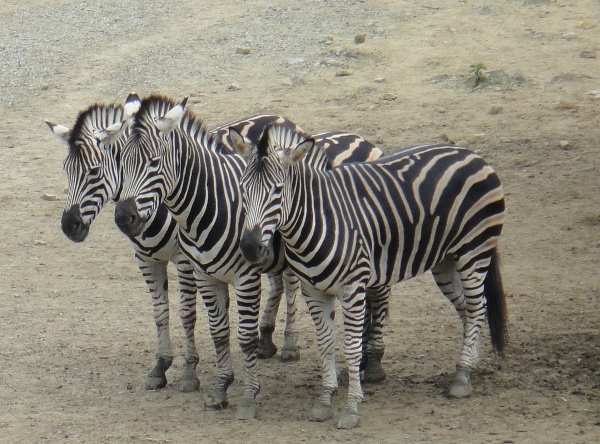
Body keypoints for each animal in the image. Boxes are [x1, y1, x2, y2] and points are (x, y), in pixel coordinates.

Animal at [49, 98, 382, 396]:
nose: (69, 226)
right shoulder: (146, 258)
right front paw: (160, 367)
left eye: (94, 171)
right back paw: (268, 340)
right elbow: (160, 312)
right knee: (281, 281)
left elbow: (187, 313)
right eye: (66, 170)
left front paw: (188, 373)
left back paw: (331, 354)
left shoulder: (185, 260)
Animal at [233, 123, 506, 428]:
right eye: (243, 188)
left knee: (477, 307)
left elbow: (352, 347)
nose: (250, 247)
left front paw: (351, 408)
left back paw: (461, 376)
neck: (319, 219)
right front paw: (324, 401)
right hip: (445, 261)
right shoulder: (313, 291)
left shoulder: (353, 288)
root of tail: (473, 155)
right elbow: (326, 345)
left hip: (474, 251)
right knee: (470, 309)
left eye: (278, 191)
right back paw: (470, 363)